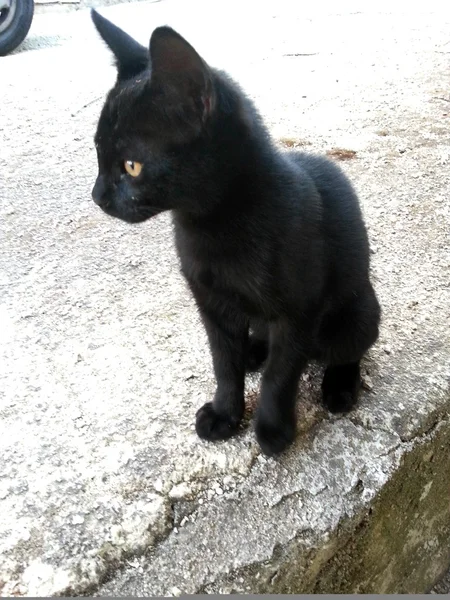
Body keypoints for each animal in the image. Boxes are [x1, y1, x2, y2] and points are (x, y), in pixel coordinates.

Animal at [90, 10, 380, 454]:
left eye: (132, 166)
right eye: (97, 152)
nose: (97, 196)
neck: (213, 226)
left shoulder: (300, 310)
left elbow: (281, 373)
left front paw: (273, 430)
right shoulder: (210, 303)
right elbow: (223, 363)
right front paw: (225, 413)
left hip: (356, 314)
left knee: (348, 351)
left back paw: (340, 386)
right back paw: (253, 351)